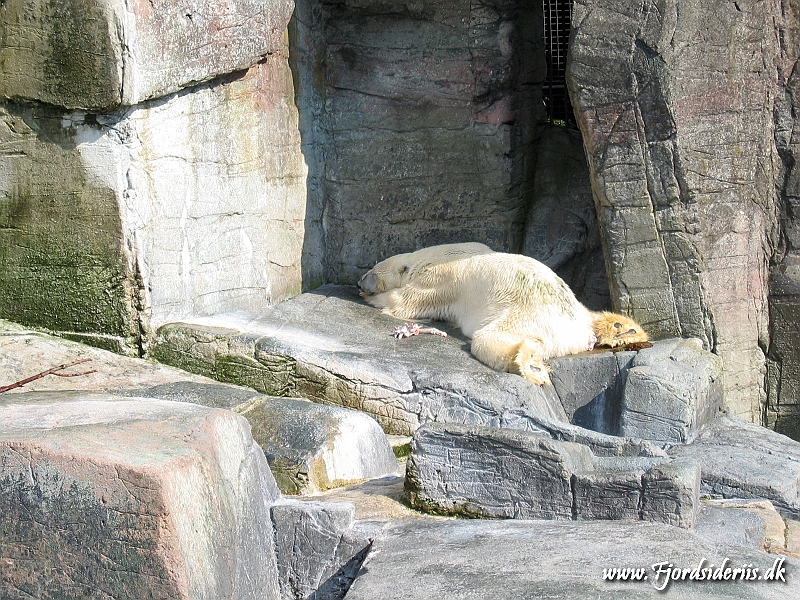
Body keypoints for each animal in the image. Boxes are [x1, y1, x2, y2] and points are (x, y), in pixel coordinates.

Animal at [360, 243, 648, 384]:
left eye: (372, 271)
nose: (361, 282)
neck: (427, 258)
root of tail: (577, 333)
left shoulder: (438, 280)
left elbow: (403, 302)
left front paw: (373, 298)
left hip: (526, 314)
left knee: (490, 339)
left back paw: (530, 366)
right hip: (574, 307)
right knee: (592, 314)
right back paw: (624, 330)